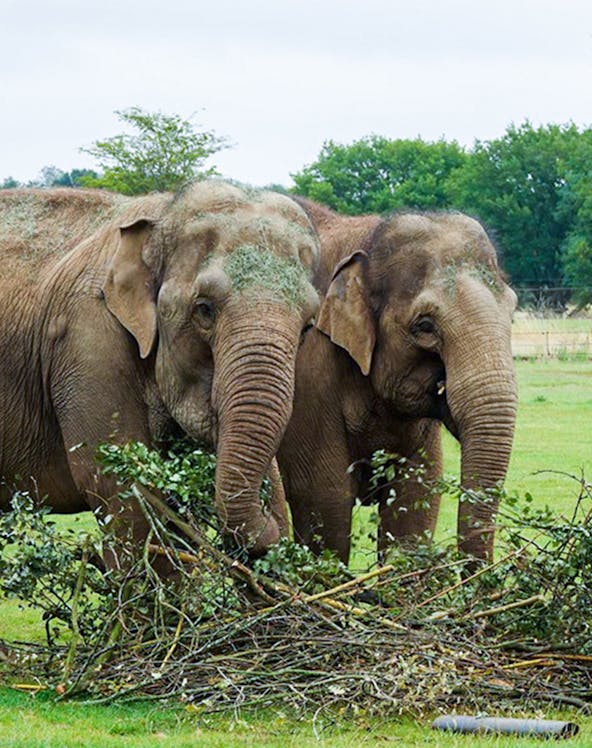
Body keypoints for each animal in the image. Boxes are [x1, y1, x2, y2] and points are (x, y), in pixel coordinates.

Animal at [0, 181, 320, 561]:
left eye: (307, 327)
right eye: (204, 309)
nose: (272, 525)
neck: (163, 210)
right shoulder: (86, 339)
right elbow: (120, 487)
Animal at [277, 198, 518, 564]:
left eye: (513, 313)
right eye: (424, 326)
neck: (367, 235)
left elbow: (416, 498)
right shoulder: (307, 372)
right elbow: (323, 499)